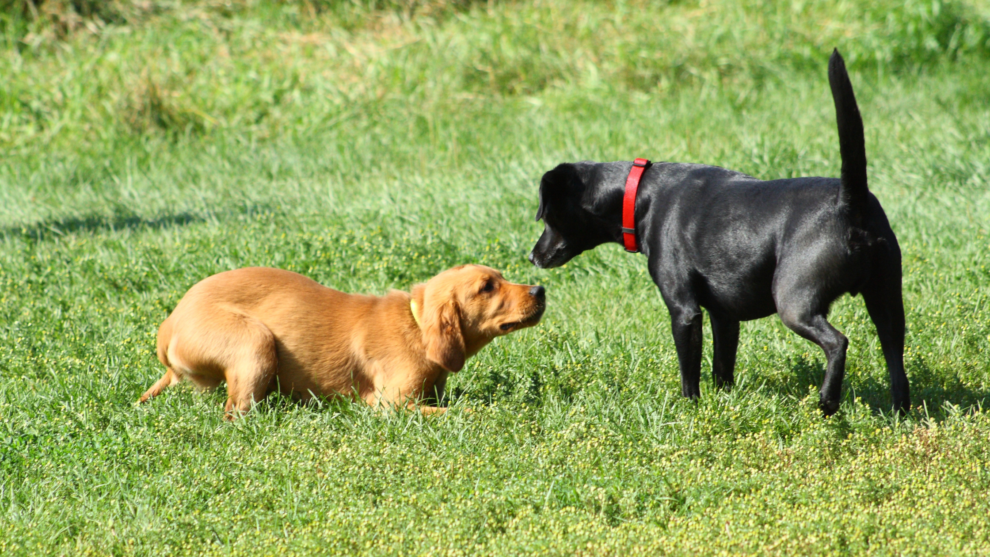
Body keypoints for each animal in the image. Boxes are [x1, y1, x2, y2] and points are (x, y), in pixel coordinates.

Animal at [140, 264, 548, 416]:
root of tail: (169, 325)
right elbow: (459, 411)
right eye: (487, 287)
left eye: (501, 276)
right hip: (255, 343)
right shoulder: (392, 405)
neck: (415, 326)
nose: (540, 289)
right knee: (236, 411)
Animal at [532, 50, 912, 412]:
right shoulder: (724, 316)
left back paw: (828, 401)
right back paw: (899, 411)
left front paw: (690, 409)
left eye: (547, 215)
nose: (533, 255)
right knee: (895, 359)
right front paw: (724, 404)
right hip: (887, 303)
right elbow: (721, 368)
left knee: (837, 342)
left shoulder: (685, 312)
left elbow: (690, 374)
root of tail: (850, 201)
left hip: (794, 301)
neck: (638, 195)